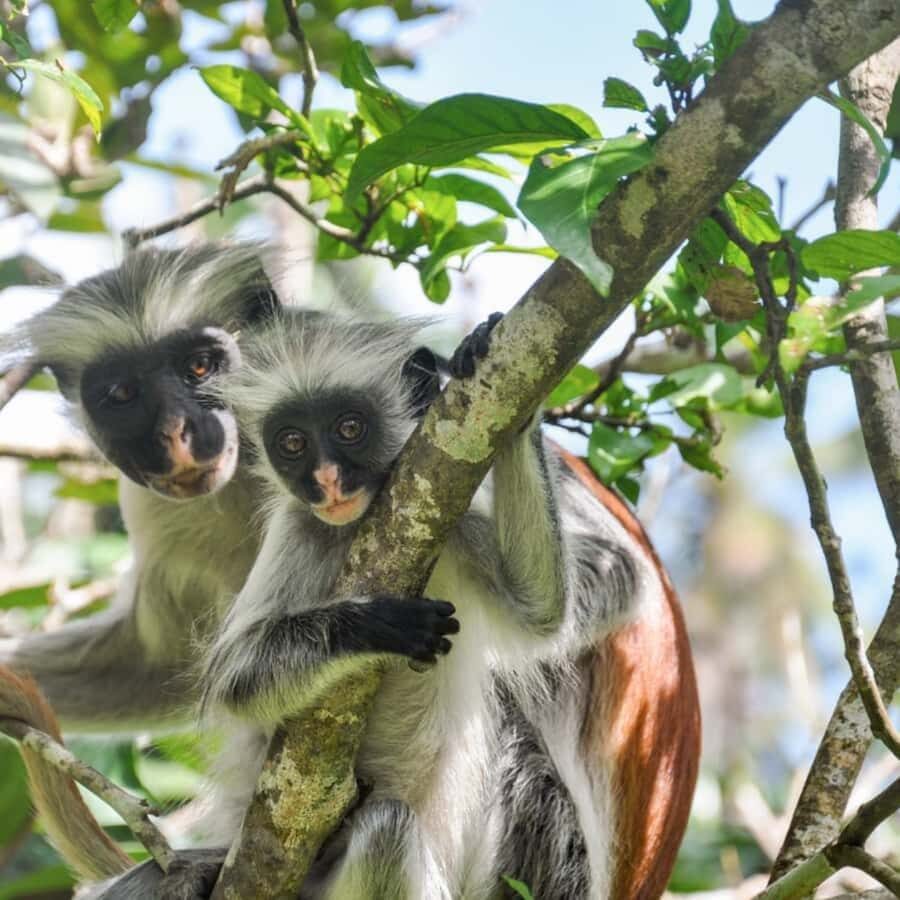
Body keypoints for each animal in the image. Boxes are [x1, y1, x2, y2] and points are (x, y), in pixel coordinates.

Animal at [190, 309, 686, 899]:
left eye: (349, 428)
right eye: (292, 443)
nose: (326, 480)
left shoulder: (457, 517)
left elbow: (543, 608)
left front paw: (500, 385)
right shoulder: (300, 526)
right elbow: (237, 679)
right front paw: (379, 625)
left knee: (387, 826)